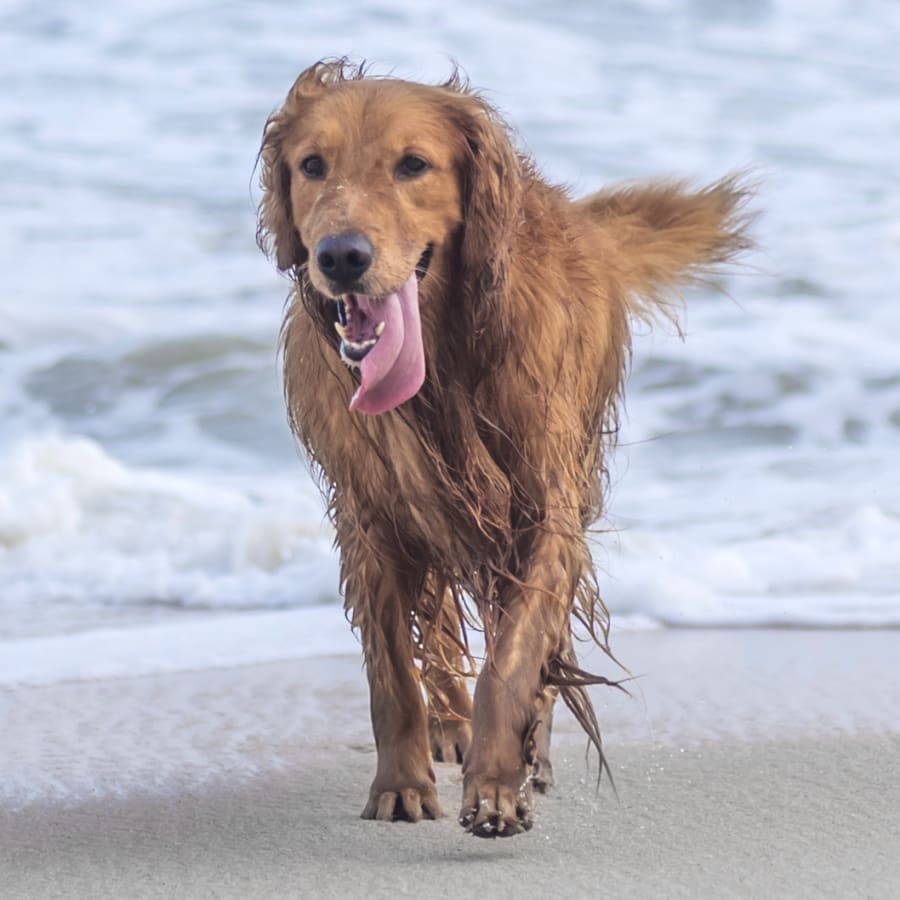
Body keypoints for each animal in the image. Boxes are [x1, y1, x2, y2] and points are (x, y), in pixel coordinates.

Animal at [255, 61, 752, 836]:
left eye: (412, 164)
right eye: (312, 166)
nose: (340, 255)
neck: (443, 360)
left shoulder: (543, 505)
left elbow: (516, 653)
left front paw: (495, 781)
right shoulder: (371, 514)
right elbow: (392, 670)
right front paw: (402, 782)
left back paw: (527, 752)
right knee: (438, 628)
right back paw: (452, 723)